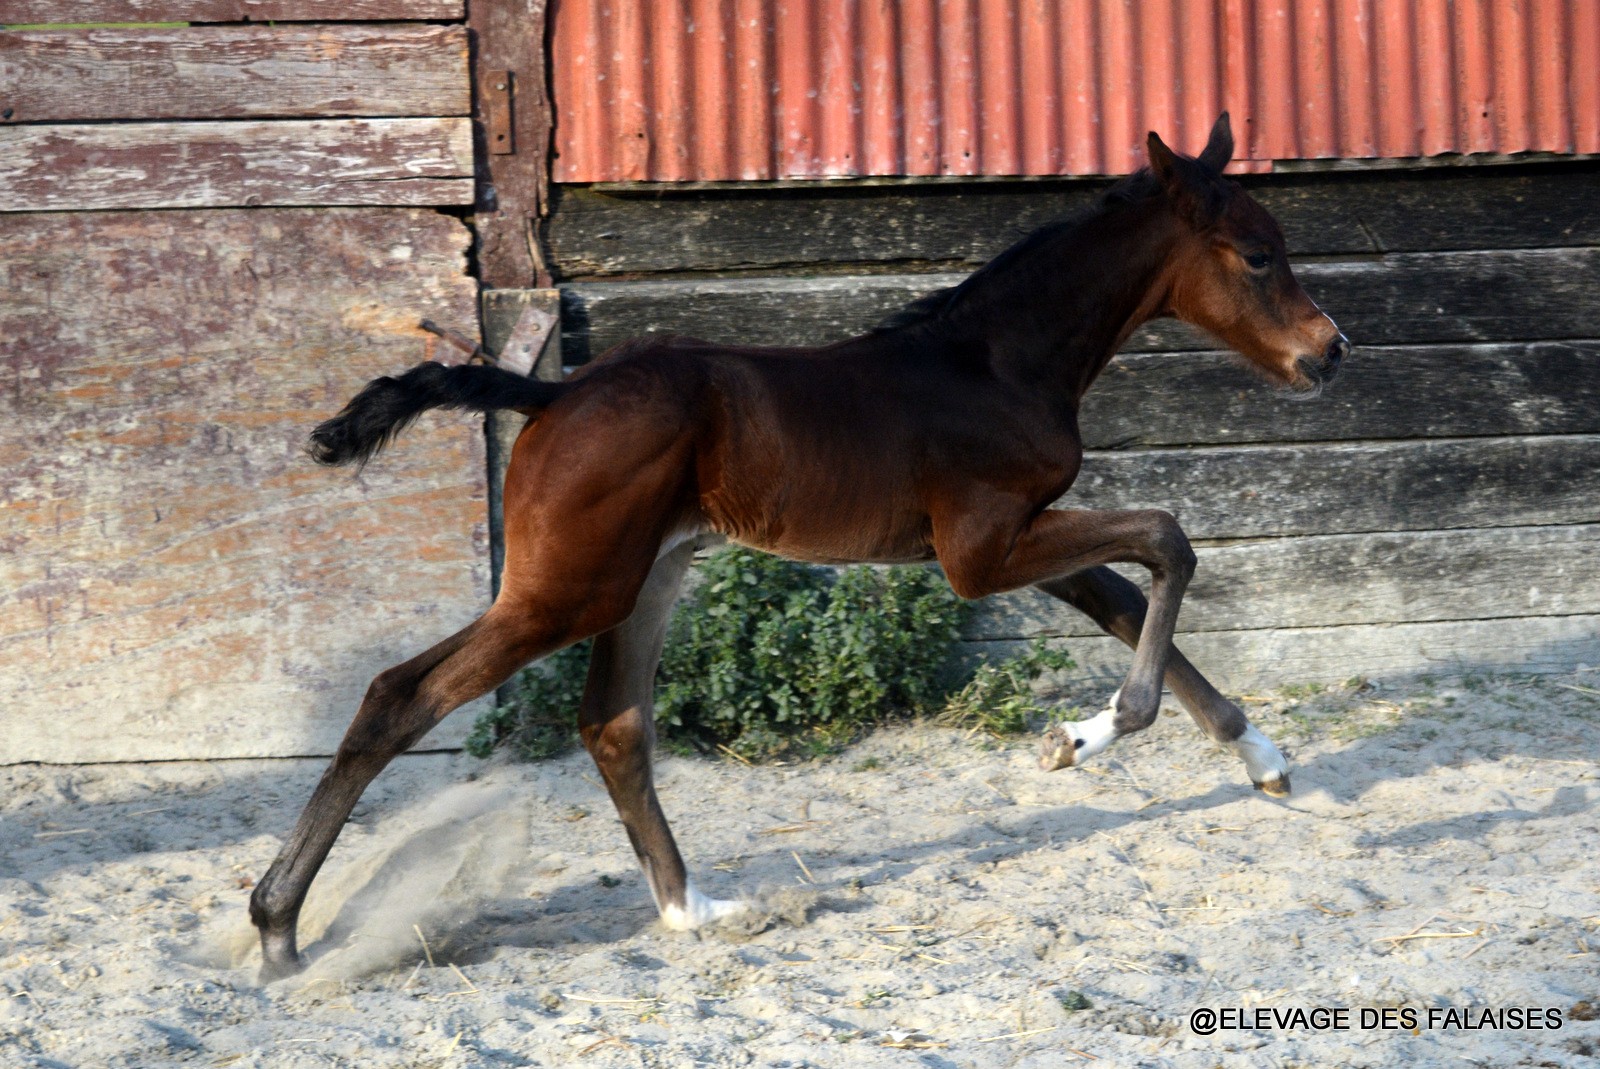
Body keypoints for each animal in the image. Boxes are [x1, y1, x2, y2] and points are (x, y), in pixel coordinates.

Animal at [252, 115, 1350, 979]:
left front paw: (1261, 757)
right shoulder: (980, 552)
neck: (995, 361)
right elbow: (1170, 543)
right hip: (569, 588)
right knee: (401, 693)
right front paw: (1086, 736)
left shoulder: (1014, 534)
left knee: (612, 724)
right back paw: (276, 928)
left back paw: (694, 909)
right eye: (1257, 254)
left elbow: (1128, 595)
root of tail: (553, 392)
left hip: (648, 574)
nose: (1330, 349)